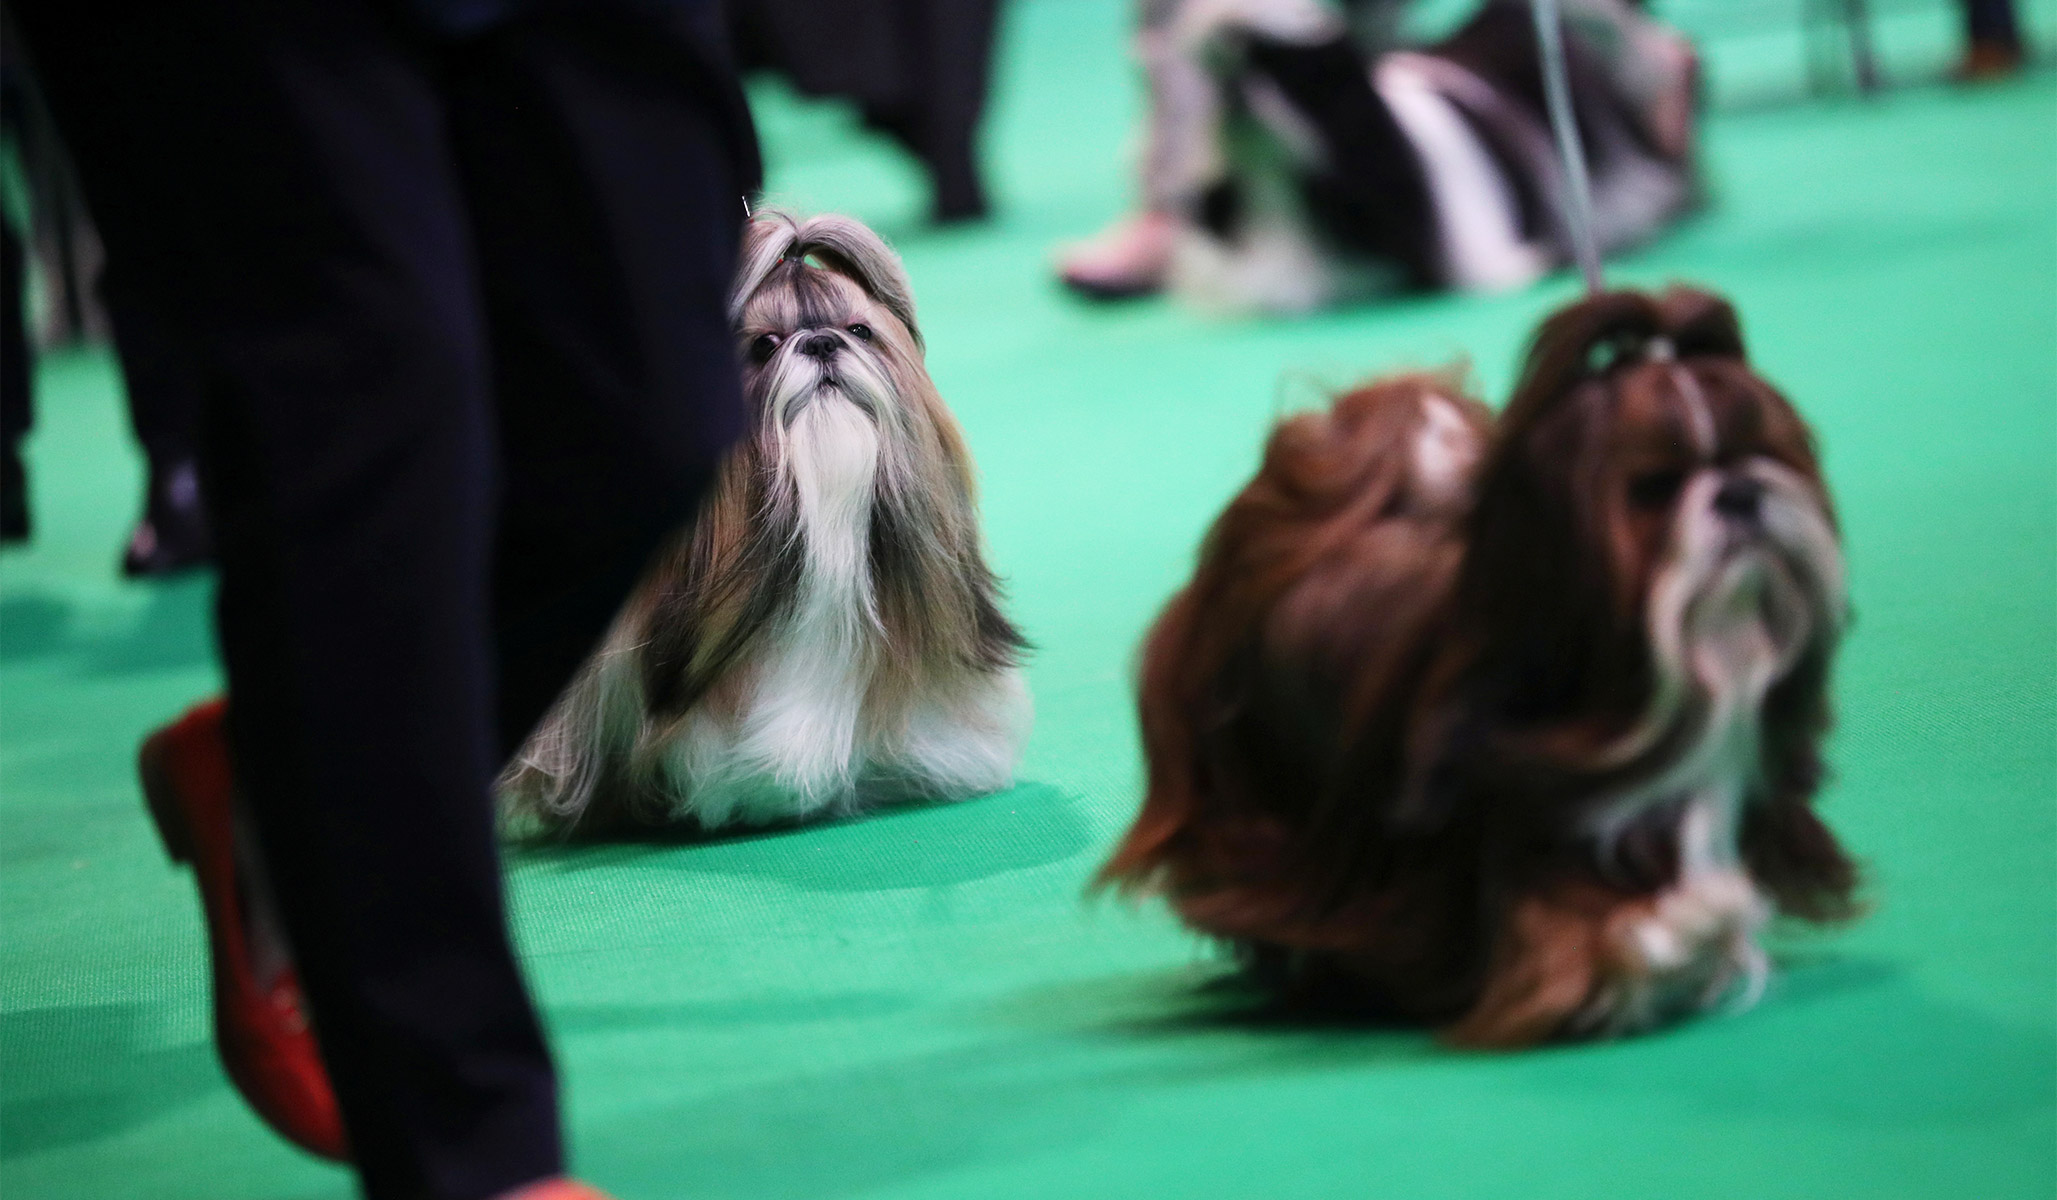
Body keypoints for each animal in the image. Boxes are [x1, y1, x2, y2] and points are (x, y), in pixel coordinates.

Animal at [1110, 288, 1867, 1041]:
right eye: (1655, 487)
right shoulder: (1521, 840)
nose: (1739, 491)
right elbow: (1576, 931)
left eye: (1761, 452)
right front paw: (1678, 936)